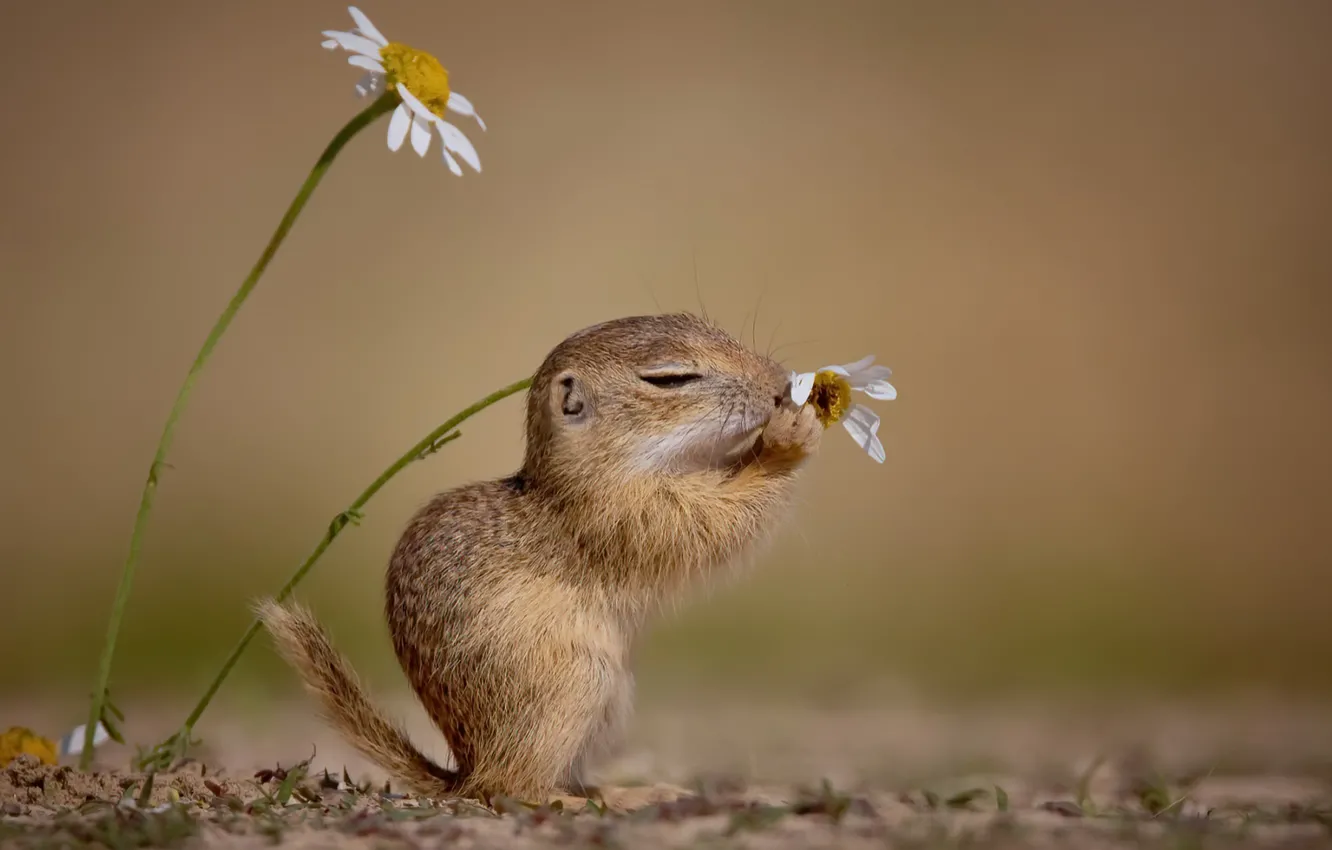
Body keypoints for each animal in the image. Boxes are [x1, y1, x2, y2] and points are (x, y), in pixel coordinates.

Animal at [257, 312, 822, 802]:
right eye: (670, 378)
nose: (780, 384)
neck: (595, 469)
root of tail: (465, 770)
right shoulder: (625, 515)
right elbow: (712, 523)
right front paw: (789, 437)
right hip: (579, 683)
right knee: (511, 788)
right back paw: (596, 800)